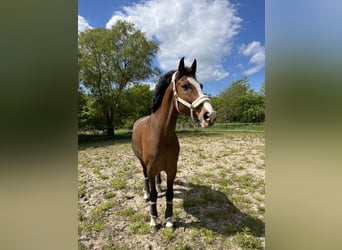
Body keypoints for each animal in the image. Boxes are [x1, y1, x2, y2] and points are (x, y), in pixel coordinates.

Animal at [132, 57, 216, 230]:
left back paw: (159, 187)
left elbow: (170, 193)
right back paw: (145, 194)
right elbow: (153, 195)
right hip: (142, 163)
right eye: (185, 86)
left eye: (201, 85)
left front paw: (169, 220)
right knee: (145, 179)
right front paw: (154, 220)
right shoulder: (150, 168)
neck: (161, 134)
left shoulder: (172, 169)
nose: (210, 115)